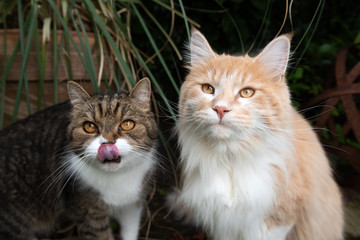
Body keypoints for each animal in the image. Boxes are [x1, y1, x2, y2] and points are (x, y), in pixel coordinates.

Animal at [0, 78, 158, 239]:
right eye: (90, 126)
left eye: (127, 124)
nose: (107, 143)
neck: (117, 177)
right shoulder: (89, 213)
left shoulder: (132, 206)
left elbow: (130, 231)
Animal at [169, 29, 344, 239]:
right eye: (208, 89)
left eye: (246, 92)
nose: (220, 109)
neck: (230, 159)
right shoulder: (221, 222)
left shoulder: (276, 220)